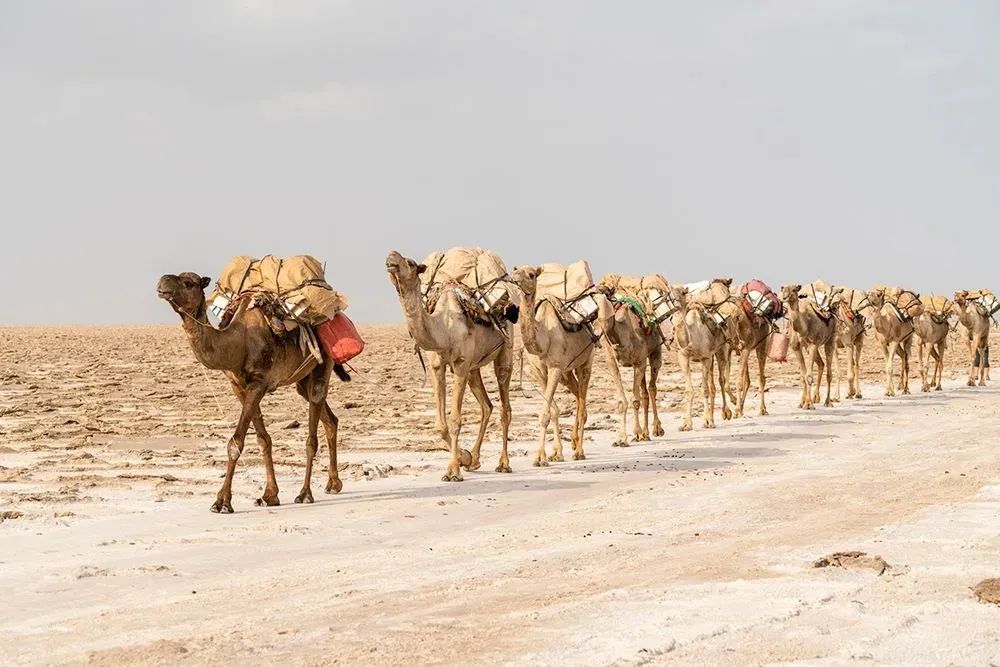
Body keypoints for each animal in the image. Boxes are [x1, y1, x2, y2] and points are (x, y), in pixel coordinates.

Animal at [156, 272, 345, 513]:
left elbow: (235, 443)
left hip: (323, 361)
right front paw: (270, 495)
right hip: (302, 379)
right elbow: (263, 440)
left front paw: (222, 501)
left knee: (312, 433)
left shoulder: (258, 383)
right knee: (330, 419)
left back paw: (305, 494)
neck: (239, 341)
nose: (163, 282)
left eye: (189, 282)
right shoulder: (239, 387)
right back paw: (334, 483)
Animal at [385, 251, 513, 482]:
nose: (391, 257)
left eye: (410, 263)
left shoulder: (461, 364)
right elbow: (440, 425)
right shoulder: (438, 365)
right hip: (474, 368)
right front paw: (465, 458)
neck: (444, 327)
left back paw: (504, 464)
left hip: (504, 352)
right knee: (487, 406)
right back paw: (475, 459)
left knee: (504, 407)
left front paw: (453, 470)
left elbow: (454, 420)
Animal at [510, 266, 609, 465]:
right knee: (578, 397)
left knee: (582, 402)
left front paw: (540, 457)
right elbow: (554, 410)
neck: (543, 337)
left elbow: (545, 413)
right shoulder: (537, 371)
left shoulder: (555, 368)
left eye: (531, 274)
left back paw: (579, 451)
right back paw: (574, 442)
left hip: (586, 363)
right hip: (567, 373)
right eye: (516, 269)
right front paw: (556, 453)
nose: (514, 277)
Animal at [598, 275, 667, 444]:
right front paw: (622, 438)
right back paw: (645, 433)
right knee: (644, 392)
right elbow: (622, 402)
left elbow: (635, 400)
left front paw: (636, 432)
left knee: (651, 388)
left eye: (608, 293)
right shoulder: (611, 362)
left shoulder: (639, 362)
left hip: (655, 353)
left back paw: (656, 429)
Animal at [669, 284, 732, 430]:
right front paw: (686, 424)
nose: (674, 303)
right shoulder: (683, 357)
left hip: (721, 350)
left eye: (682, 292)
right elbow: (689, 390)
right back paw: (712, 417)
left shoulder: (705, 358)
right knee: (712, 384)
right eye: (669, 291)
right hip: (711, 357)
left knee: (721, 379)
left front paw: (706, 421)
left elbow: (704, 390)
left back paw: (725, 413)